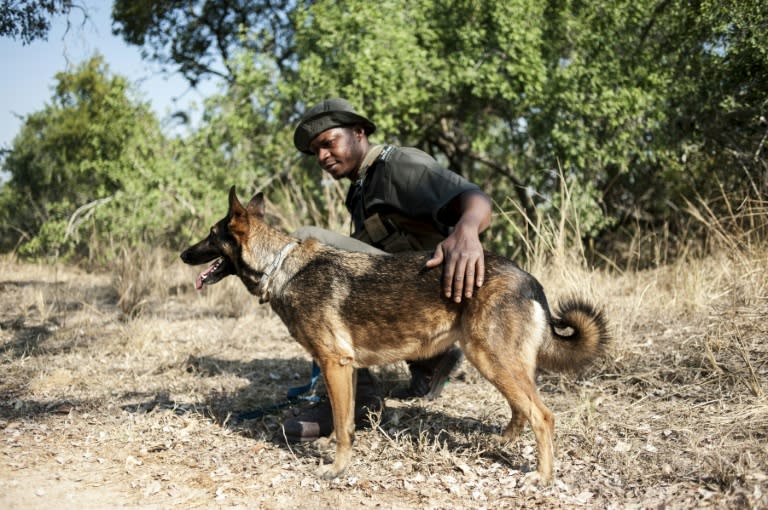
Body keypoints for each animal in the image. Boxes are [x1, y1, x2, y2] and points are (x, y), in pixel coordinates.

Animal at [180, 186, 612, 482]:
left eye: (211, 235)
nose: (183, 254)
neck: (280, 266)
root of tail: (528, 278)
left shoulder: (334, 363)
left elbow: (342, 427)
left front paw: (336, 469)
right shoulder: (346, 367)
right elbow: (347, 421)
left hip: (491, 359)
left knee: (542, 415)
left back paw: (542, 476)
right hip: (496, 362)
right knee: (522, 410)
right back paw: (498, 446)